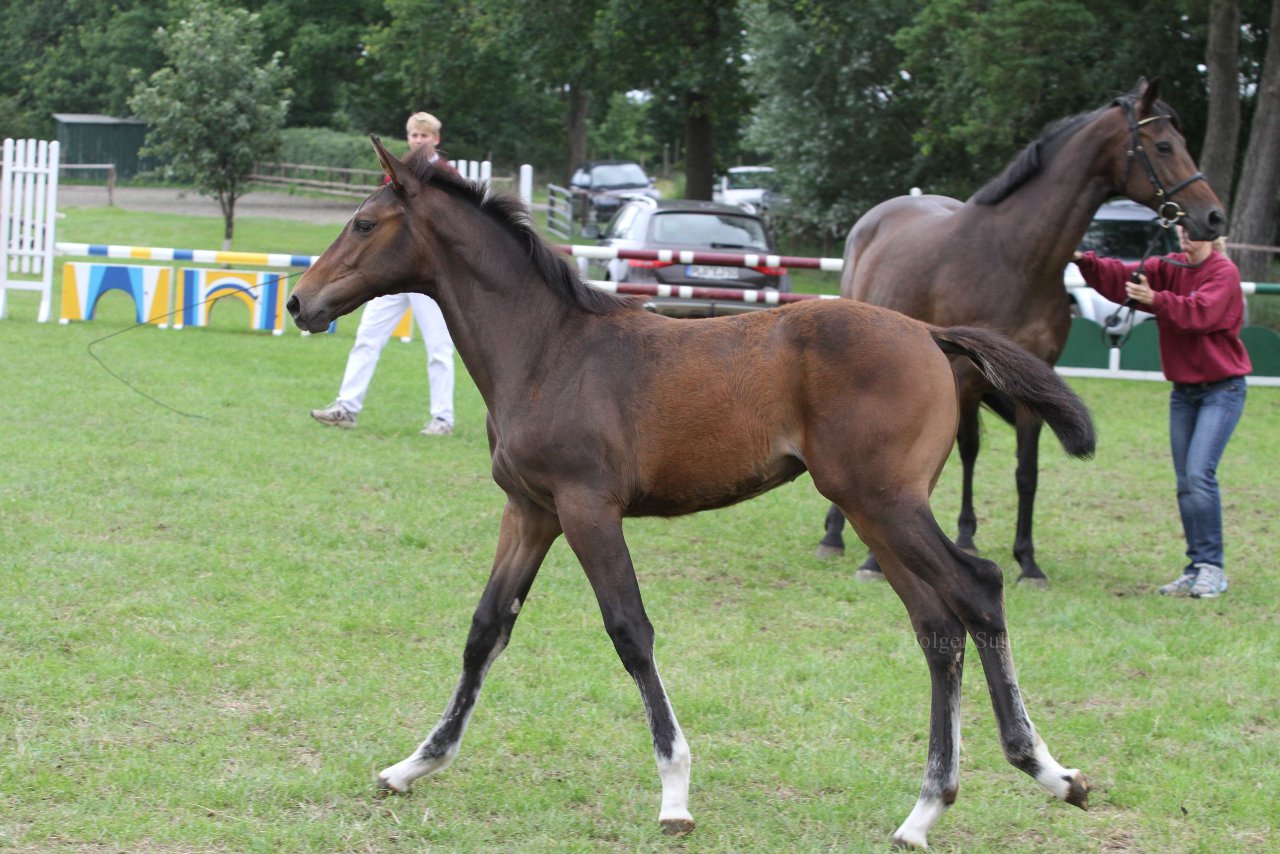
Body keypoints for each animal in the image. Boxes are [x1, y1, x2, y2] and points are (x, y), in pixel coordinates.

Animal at [293, 138, 1100, 850]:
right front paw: (413, 764)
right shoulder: (531, 512)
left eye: (364, 223)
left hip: (886, 503)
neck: (548, 349)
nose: (300, 302)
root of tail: (932, 335)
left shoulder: (588, 509)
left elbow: (630, 631)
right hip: (877, 511)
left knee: (979, 589)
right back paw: (932, 808)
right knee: (938, 626)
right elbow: (485, 630)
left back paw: (1039, 774)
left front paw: (675, 795)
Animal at [814, 76, 1223, 588]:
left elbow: (1026, 474)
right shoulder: (962, 377)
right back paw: (834, 535)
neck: (1013, 257)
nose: (1212, 216)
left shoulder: (1029, 382)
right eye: (1165, 145)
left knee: (969, 451)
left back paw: (963, 534)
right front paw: (874, 561)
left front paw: (1028, 561)